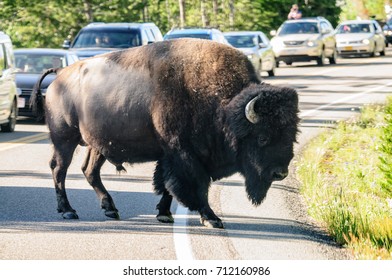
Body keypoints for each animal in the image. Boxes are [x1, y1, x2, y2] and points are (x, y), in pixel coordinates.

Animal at [31, 38, 300, 228]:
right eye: (263, 137)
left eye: (291, 135)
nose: (280, 173)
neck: (223, 104)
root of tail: (60, 75)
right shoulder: (184, 154)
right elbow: (194, 185)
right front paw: (212, 218)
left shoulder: (170, 155)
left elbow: (166, 185)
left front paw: (164, 214)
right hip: (64, 139)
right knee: (59, 169)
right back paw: (68, 211)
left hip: (97, 145)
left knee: (89, 171)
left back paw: (110, 209)